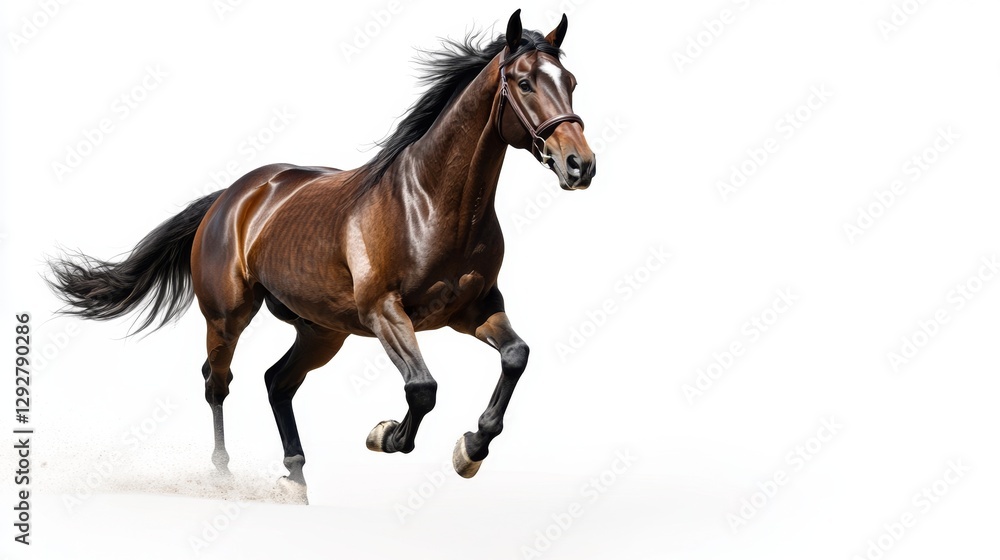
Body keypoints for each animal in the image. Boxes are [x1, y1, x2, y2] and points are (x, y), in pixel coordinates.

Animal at [47, 9, 596, 499]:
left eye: (569, 80)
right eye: (524, 83)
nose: (580, 164)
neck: (432, 204)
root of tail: (231, 197)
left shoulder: (474, 310)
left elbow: (516, 356)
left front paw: (471, 449)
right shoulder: (385, 311)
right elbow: (422, 388)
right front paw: (386, 435)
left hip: (322, 330)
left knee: (277, 381)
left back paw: (295, 475)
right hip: (228, 317)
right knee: (217, 382)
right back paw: (223, 475)